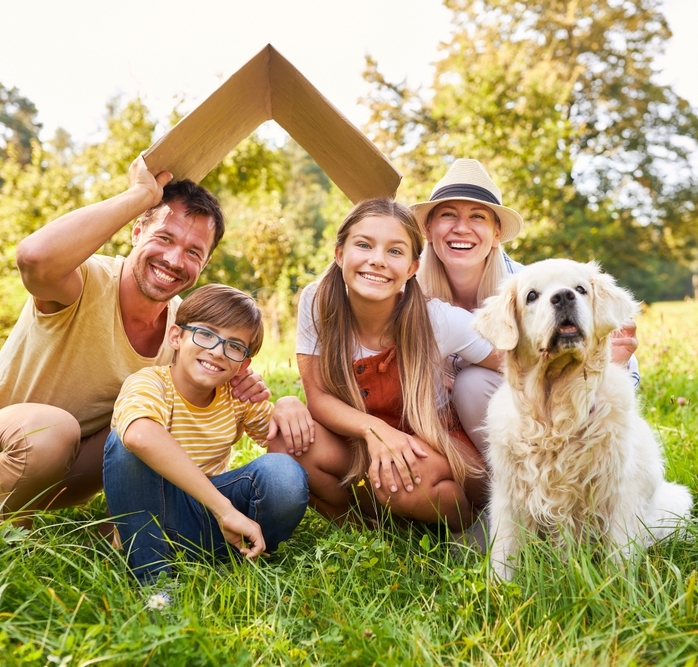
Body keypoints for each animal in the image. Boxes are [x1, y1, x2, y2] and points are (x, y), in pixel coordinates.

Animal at [474, 258, 692, 580]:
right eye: (531, 295)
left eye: (580, 289)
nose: (563, 297)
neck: (556, 415)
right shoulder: (508, 492)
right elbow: (504, 550)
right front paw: (499, 587)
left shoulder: (619, 491)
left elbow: (619, 552)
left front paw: (617, 585)